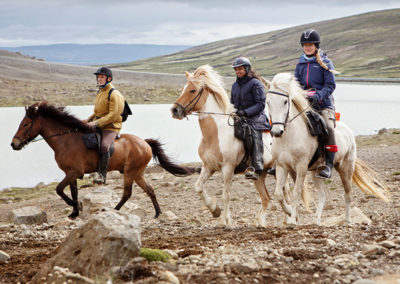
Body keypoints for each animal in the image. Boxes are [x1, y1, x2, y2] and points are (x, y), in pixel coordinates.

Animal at [10, 101, 195, 219]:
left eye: (25, 124)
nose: (13, 144)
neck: (66, 140)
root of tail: (145, 143)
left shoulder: (74, 172)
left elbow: (59, 190)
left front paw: (75, 206)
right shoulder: (71, 174)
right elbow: (72, 191)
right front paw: (74, 212)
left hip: (130, 172)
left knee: (127, 193)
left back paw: (114, 210)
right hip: (138, 173)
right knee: (149, 190)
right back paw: (157, 213)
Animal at [170, 64, 290, 226]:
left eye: (192, 90)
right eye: (183, 88)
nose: (174, 110)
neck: (215, 133)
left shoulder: (228, 168)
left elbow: (225, 195)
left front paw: (225, 222)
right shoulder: (208, 167)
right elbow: (198, 187)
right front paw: (214, 210)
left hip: (280, 171)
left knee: (286, 194)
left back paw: (289, 220)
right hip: (260, 175)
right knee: (266, 198)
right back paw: (259, 222)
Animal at [268, 72, 390, 225]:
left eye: (285, 101)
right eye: (268, 102)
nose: (277, 131)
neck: (288, 137)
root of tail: (348, 131)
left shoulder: (301, 167)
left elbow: (296, 193)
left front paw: (291, 221)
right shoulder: (282, 166)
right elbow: (278, 195)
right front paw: (291, 214)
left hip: (345, 168)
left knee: (348, 193)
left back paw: (347, 220)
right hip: (316, 172)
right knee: (323, 195)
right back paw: (316, 220)